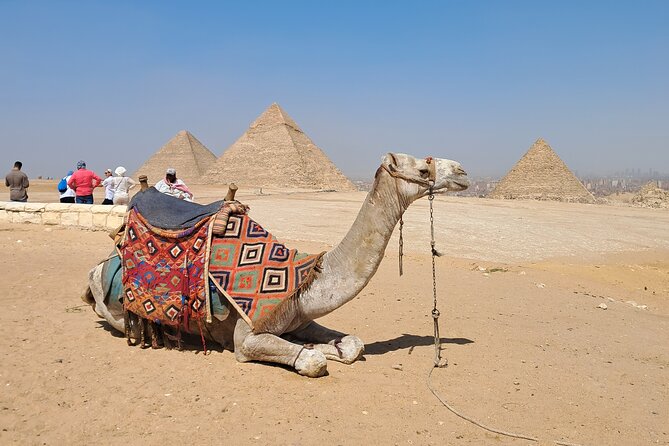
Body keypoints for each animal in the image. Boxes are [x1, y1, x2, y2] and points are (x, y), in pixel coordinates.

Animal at [83, 153, 468, 377]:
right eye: (423, 167)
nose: (463, 171)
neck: (306, 279)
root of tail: (94, 272)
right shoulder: (244, 338)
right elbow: (311, 361)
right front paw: (312, 352)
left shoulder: (301, 315)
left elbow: (352, 345)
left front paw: (327, 346)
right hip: (118, 314)